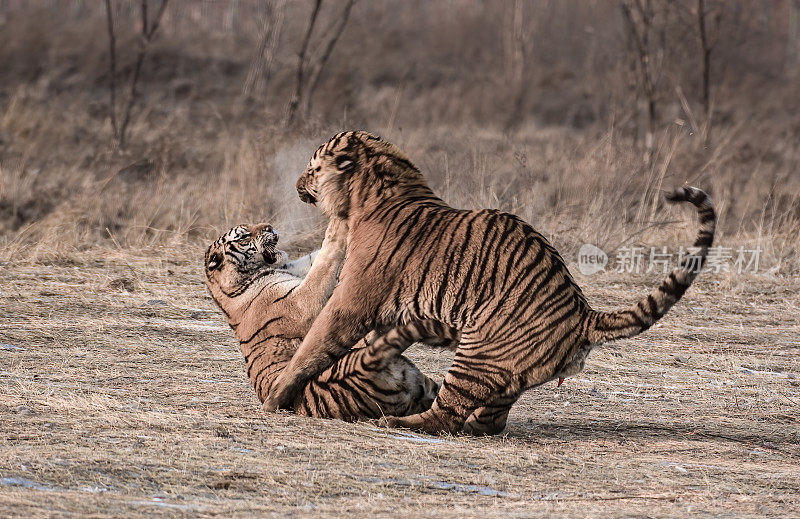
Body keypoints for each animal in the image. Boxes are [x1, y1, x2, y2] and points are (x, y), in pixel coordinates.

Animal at [205, 218, 456, 422]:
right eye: (244, 236)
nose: (270, 227)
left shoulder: (297, 269)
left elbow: (315, 257)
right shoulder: (302, 303)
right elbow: (324, 260)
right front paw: (337, 227)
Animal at [264, 130, 720, 434]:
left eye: (312, 166)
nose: (298, 184)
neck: (368, 197)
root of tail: (583, 314)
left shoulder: (352, 300)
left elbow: (314, 342)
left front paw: (274, 396)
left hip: (476, 353)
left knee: (445, 414)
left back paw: (397, 422)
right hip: (501, 372)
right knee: (489, 420)